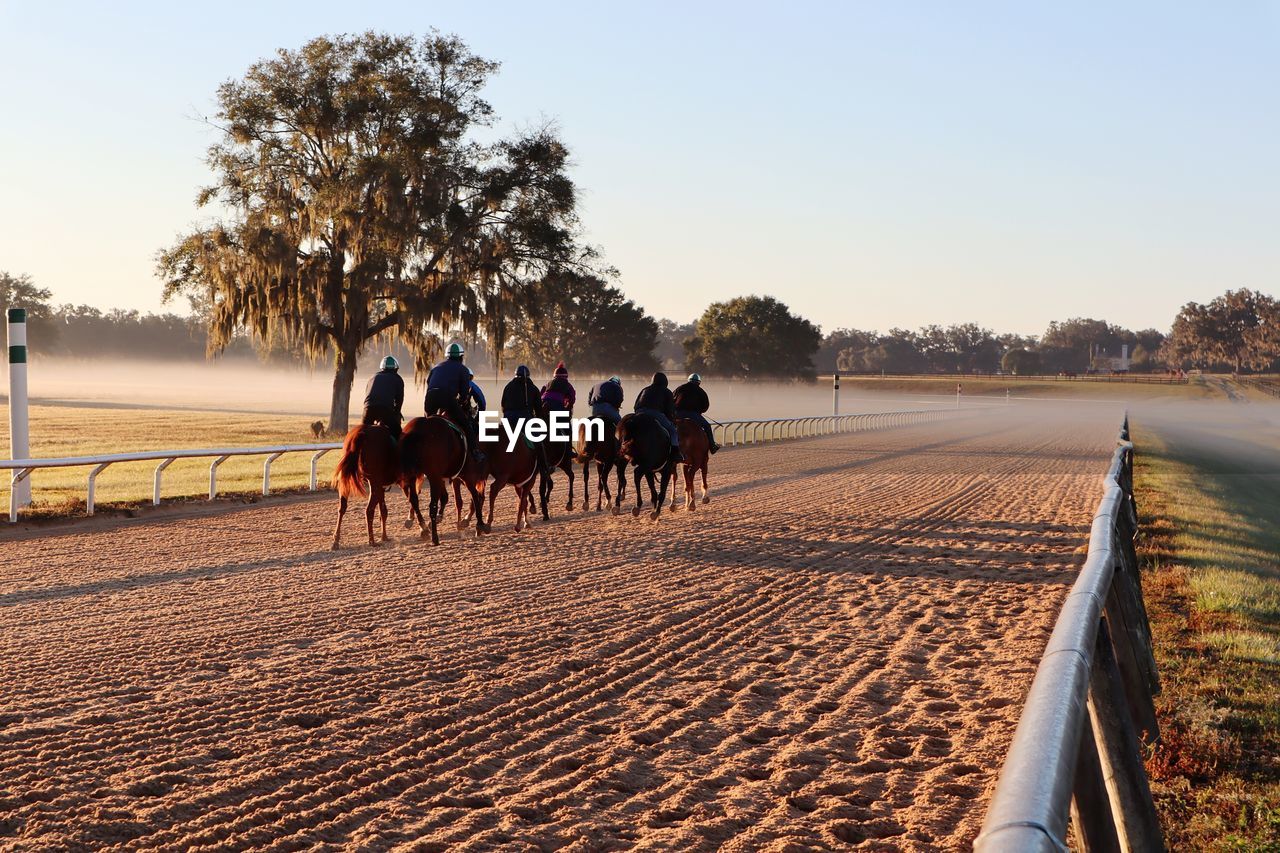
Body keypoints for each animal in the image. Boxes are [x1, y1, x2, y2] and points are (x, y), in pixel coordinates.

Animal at [401, 412, 486, 545]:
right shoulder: (466, 476)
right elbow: (474, 497)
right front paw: (480, 524)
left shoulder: (442, 477)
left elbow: (447, 498)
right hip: (433, 476)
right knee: (432, 505)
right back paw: (435, 537)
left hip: (413, 475)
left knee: (414, 500)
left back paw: (424, 529)